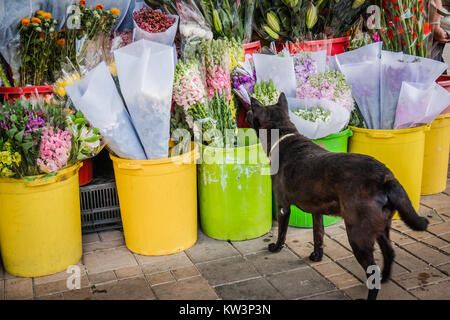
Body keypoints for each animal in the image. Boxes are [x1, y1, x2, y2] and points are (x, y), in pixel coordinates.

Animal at [248, 92, 428, 300]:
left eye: (252, 110)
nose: (246, 112)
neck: (283, 136)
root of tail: (385, 177)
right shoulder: (316, 212)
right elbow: (318, 236)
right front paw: (316, 257)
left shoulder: (283, 206)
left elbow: (282, 234)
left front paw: (276, 248)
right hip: (381, 228)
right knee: (389, 253)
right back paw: (384, 278)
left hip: (358, 235)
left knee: (372, 268)